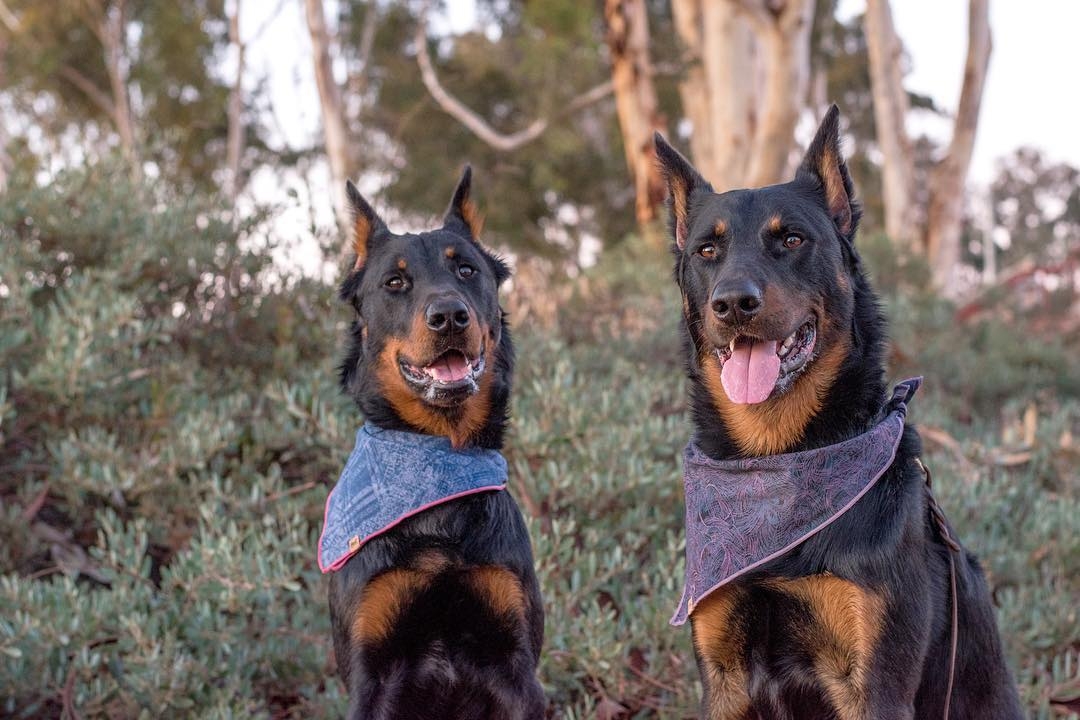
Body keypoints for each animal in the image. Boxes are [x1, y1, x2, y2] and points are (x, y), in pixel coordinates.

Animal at [648, 106, 1019, 720]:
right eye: (707, 251)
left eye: (792, 239)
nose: (733, 303)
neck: (781, 460)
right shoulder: (724, 677)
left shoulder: (875, 684)